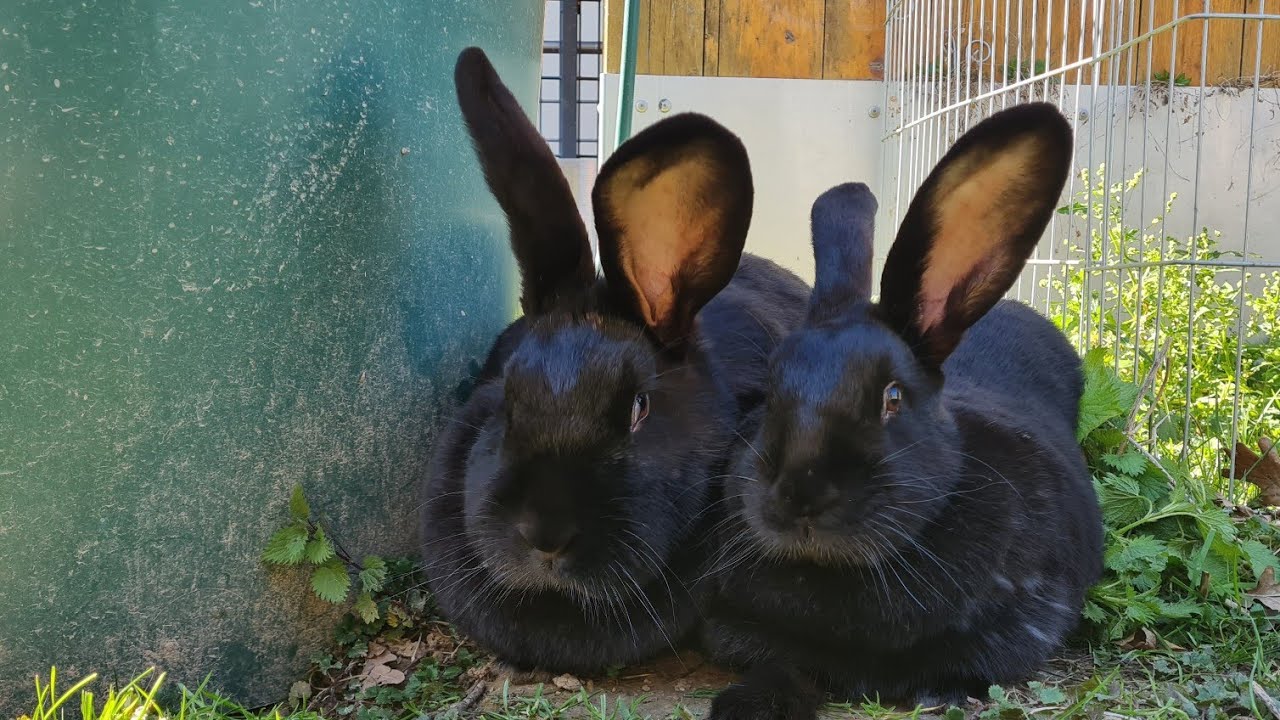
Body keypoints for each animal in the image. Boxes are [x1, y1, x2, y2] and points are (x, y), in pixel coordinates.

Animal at [700, 103, 1105, 719]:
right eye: (769, 389)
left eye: (892, 398)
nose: (800, 496)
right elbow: (781, 664)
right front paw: (749, 704)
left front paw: (940, 693)